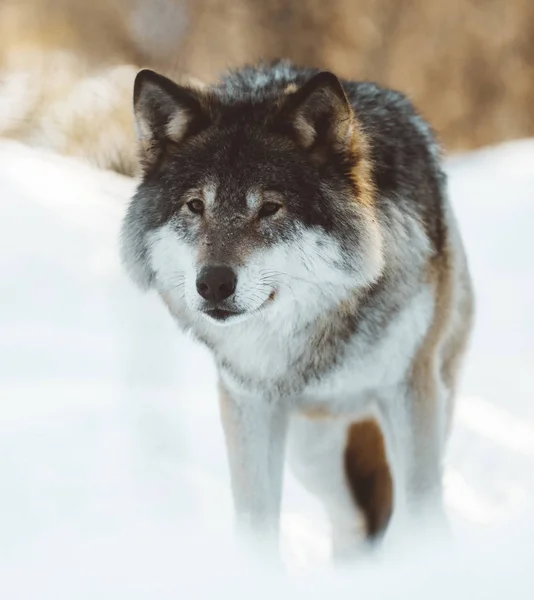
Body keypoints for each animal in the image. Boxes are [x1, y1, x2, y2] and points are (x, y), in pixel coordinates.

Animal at [119, 59, 476, 556]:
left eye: (270, 208)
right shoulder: (249, 403)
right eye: (195, 205)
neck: (317, 333)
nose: (213, 283)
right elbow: (255, 524)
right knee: (355, 521)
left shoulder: (408, 388)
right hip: (313, 451)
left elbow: (422, 512)